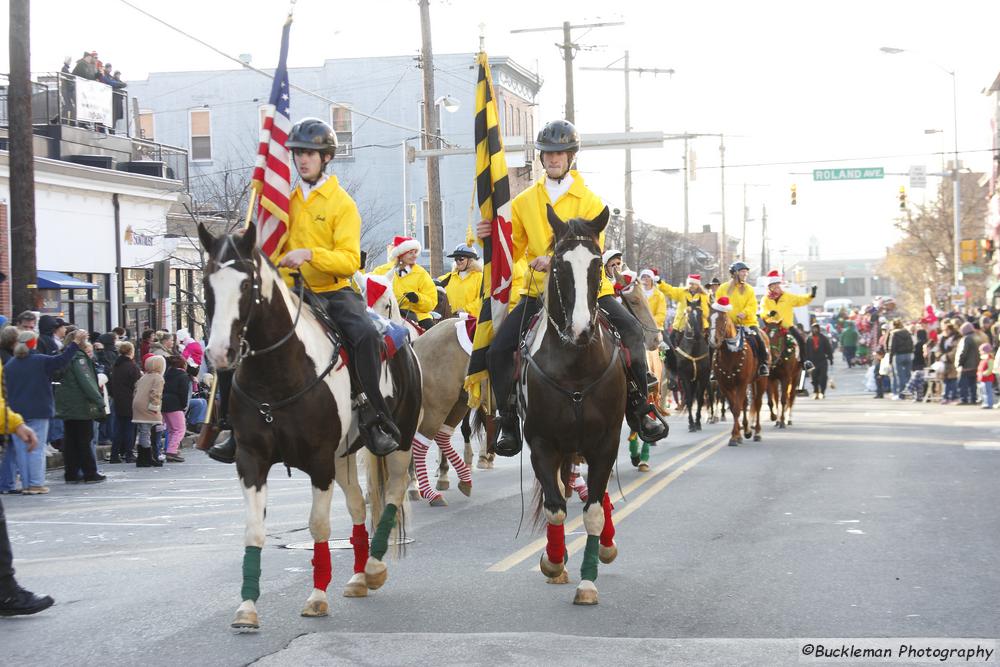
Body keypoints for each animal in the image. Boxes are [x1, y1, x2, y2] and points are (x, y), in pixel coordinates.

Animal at [197, 224, 420, 632]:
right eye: (206, 281)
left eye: (248, 283)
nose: (220, 353)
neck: (278, 374)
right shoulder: (251, 460)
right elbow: (254, 529)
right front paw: (247, 607)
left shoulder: (318, 461)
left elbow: (318, 526)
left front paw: (316, 597)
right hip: (344, 457)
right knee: (357, 504)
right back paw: (359, 576)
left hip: (399, 444)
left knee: (393, 495)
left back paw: (374, 567)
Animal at [708, 310, 768, 446]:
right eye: (709, 319)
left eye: (723, 320)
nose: (713, 340)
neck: (730, 353)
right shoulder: (725, 386)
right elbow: (734, 407)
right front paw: (736, 436)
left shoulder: (741, 384)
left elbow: (736, 409)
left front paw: (734, 437)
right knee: (745, 403)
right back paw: (746, 430)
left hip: (760, 381)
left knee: (757, 403)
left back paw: (757, 432)